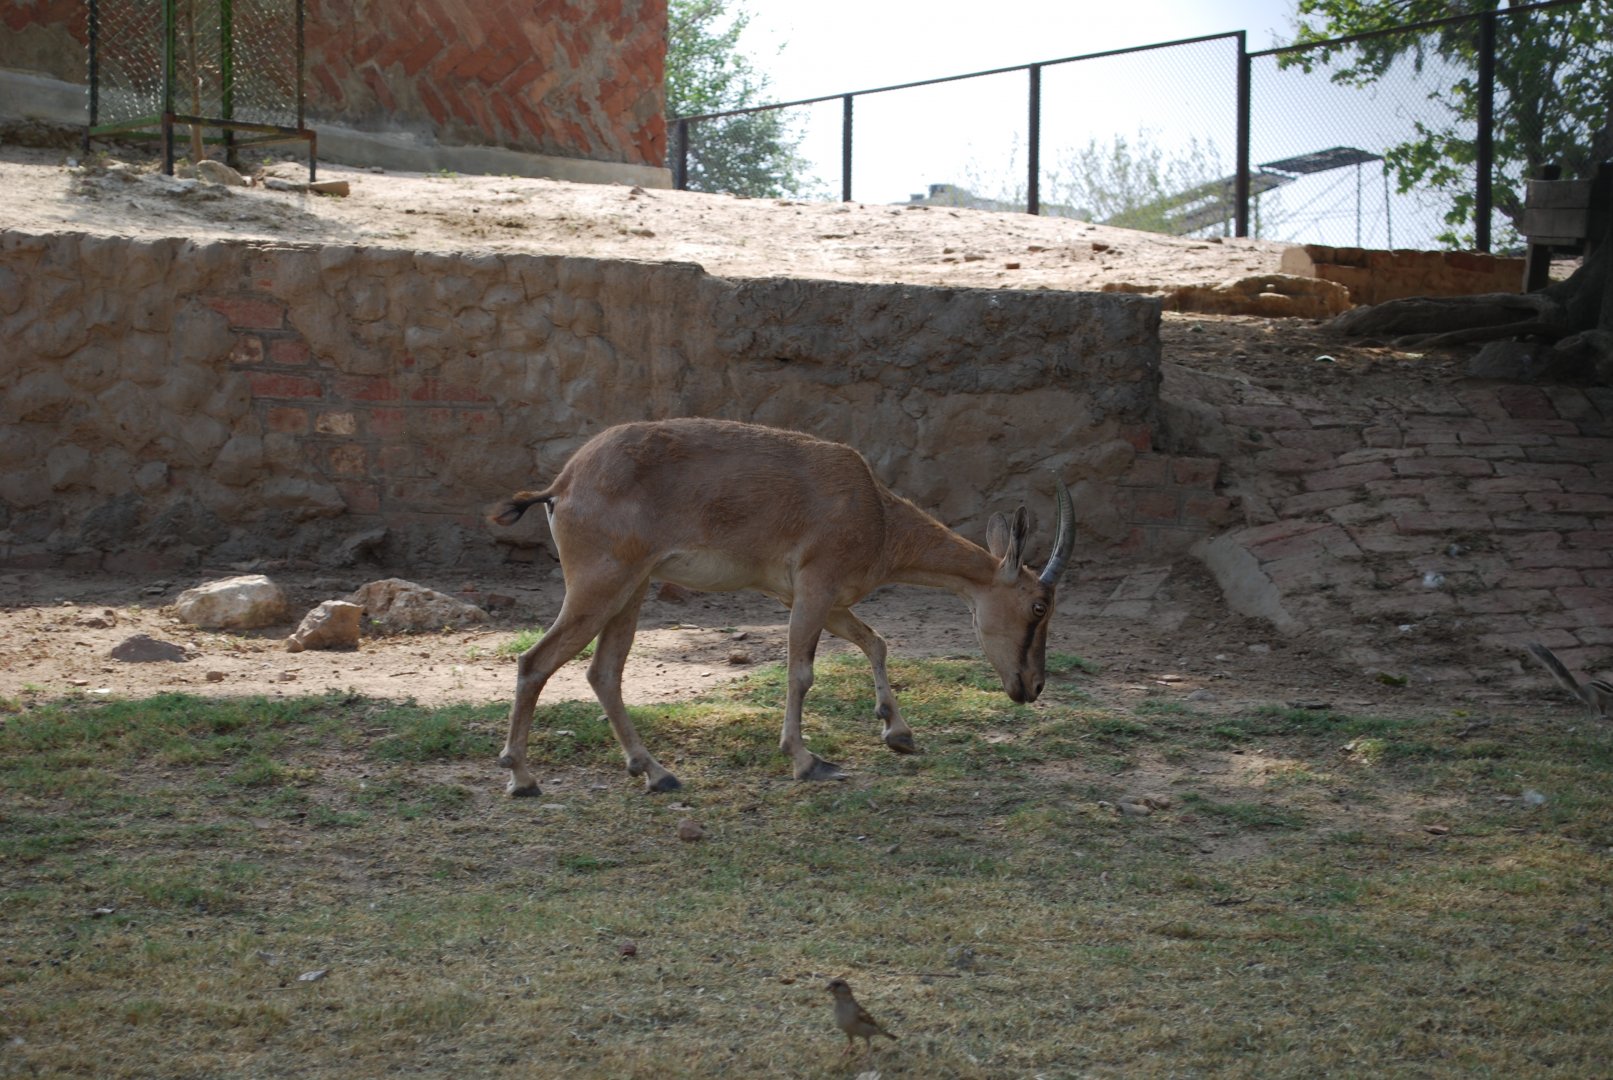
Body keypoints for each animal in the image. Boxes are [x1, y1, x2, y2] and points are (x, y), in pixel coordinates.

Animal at [488, 417, 1075, 796]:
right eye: (1039, 606)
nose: (1032, 687)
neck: (875, 514)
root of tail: (562, 485)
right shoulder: (815, 589)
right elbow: (801, 672)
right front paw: (808, 761)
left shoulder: (822, 599)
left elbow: (876, 642)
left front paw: (899, 734)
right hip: (601, 586)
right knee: (535, 661)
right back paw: (522, 778)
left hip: (630, 591)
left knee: (603, 672)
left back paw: (656, 773)